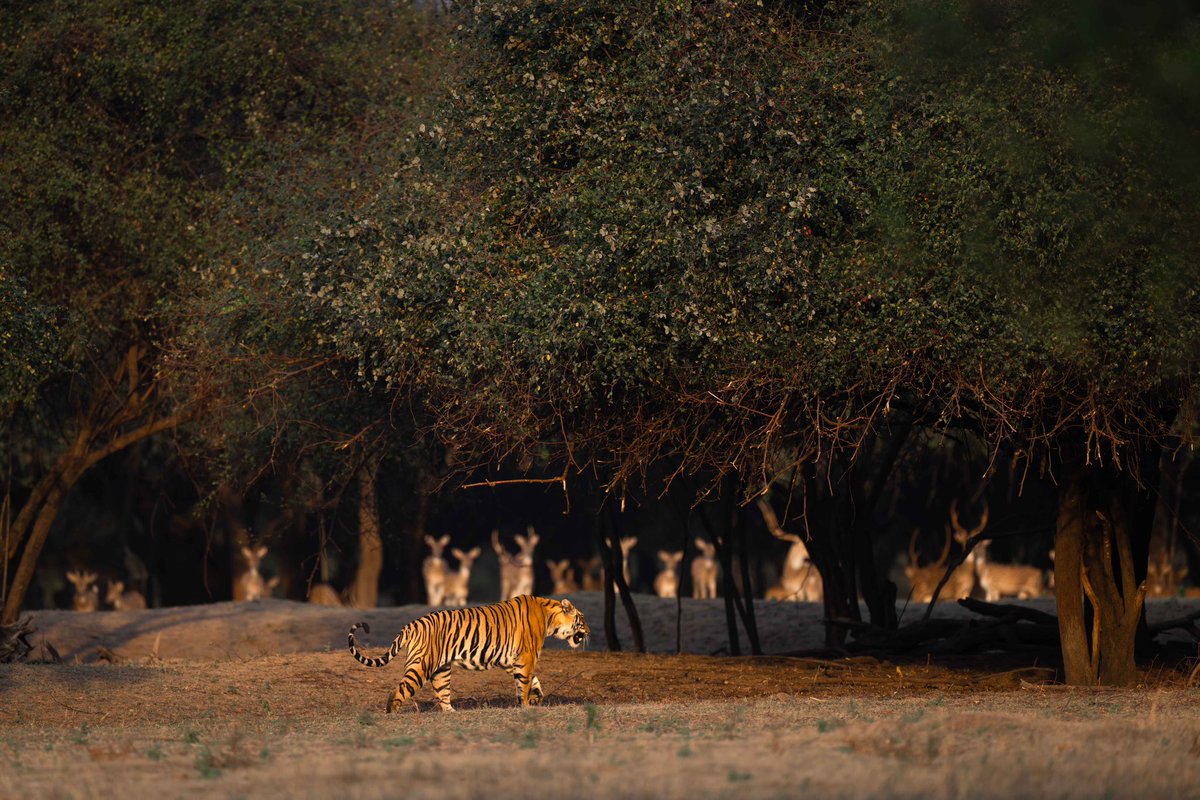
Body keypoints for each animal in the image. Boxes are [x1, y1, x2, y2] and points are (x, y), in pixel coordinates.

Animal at [348, 595, 590, 713]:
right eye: (582, 619)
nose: (588, 631)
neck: (550, 618)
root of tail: (412, 624)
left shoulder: (511, 660)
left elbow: (534, 681)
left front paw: (536, 697)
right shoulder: (526, 657)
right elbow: (525, 682)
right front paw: (527, 705)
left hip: (441, 670)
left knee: (442, 694)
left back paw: (452, 713)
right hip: (421, 666)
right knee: (399, 690)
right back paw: (392, 713)